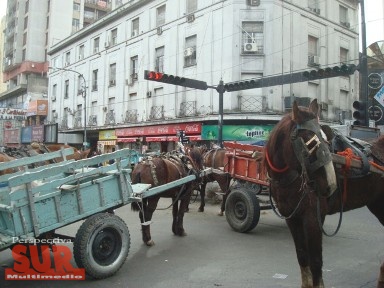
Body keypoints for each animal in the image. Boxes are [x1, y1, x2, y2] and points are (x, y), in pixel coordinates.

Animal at [262, 98, 382, 286]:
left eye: (326, 140)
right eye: (309, 142)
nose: (330, 184)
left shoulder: (313, 217)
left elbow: (316, 261)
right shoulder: (292, 218)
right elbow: (302, 256)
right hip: (376, 203)